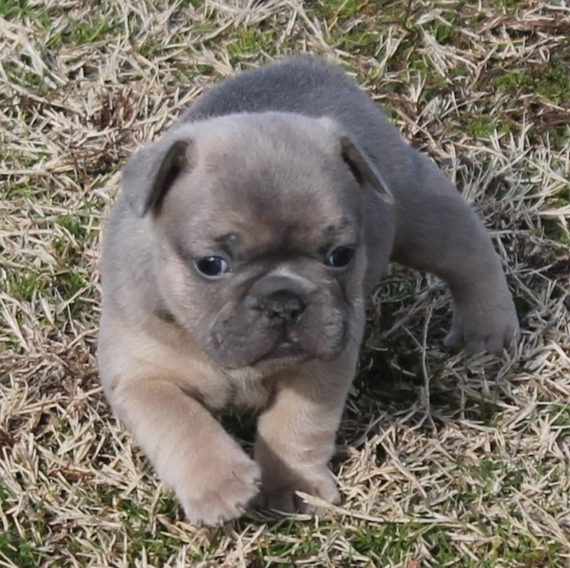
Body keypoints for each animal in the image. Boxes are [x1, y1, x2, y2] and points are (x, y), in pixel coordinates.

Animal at [97, 55, 518, 526]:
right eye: (211, 265)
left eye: (341, 255)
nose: (284, 301)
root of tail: (310, 64)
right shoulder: (140, 374)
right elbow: (179, 420)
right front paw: (219, 484)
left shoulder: (323, 362)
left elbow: (294, 423)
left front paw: (291, 486)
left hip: (419, 210)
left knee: (470, 256)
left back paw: (486, 329)